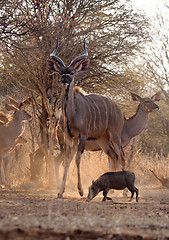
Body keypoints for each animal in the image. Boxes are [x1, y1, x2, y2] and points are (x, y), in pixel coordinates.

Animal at [48, 40, 125, 198]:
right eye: (61, 72)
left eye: (72, 73)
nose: (64, 81)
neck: (72, 114)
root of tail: (119, 110)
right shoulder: (69, 137)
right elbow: (67, 160)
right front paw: (60, 192)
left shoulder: (82, 136)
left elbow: (78, 159)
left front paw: (81, 190)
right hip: (103, 139)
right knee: (114, 156)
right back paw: (113, 190)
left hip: (115, 135)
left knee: (121, 157)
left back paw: (124, 193)